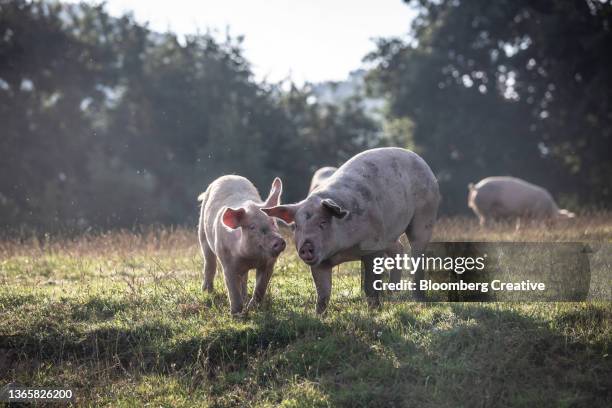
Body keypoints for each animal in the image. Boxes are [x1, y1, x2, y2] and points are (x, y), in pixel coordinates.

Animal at [200, 176, 288, 316]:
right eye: (252, 227)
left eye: (273, 222)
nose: (278, 240)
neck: (250, 258)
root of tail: (228, 176)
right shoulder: (227, 263)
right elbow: (232, 289)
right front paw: (236, 314)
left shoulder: (269, 264)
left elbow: (261, 287)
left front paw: (253, 308)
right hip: (203, 234)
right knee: (209, 263)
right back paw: (207, 292)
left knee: (244, 278)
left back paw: (245, 297)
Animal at [262, 148, 440, 314]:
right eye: (297, 226)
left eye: (323, 222)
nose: (306, 246)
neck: (344, 251)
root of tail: (419, 159)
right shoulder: (320, 263)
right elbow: (323, 293)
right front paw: (318, 316)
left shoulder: (373, 247)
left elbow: (370, 286)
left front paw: (374, 312)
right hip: (389, 235)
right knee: (399, 249)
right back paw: (391, 294)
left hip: (425, 216)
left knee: (417, 253)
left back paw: (418, 298)